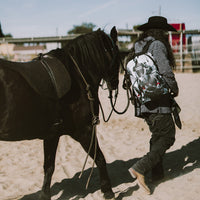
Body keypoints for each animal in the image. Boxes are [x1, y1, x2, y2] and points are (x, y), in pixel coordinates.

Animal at [0, 27, 120, 200]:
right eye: (118, 56)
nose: (116, 84)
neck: (77, 75)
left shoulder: (52, 135)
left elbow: (49, 167)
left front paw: (45, 195)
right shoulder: (84, 131)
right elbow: (100, 158)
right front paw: (107, 190)